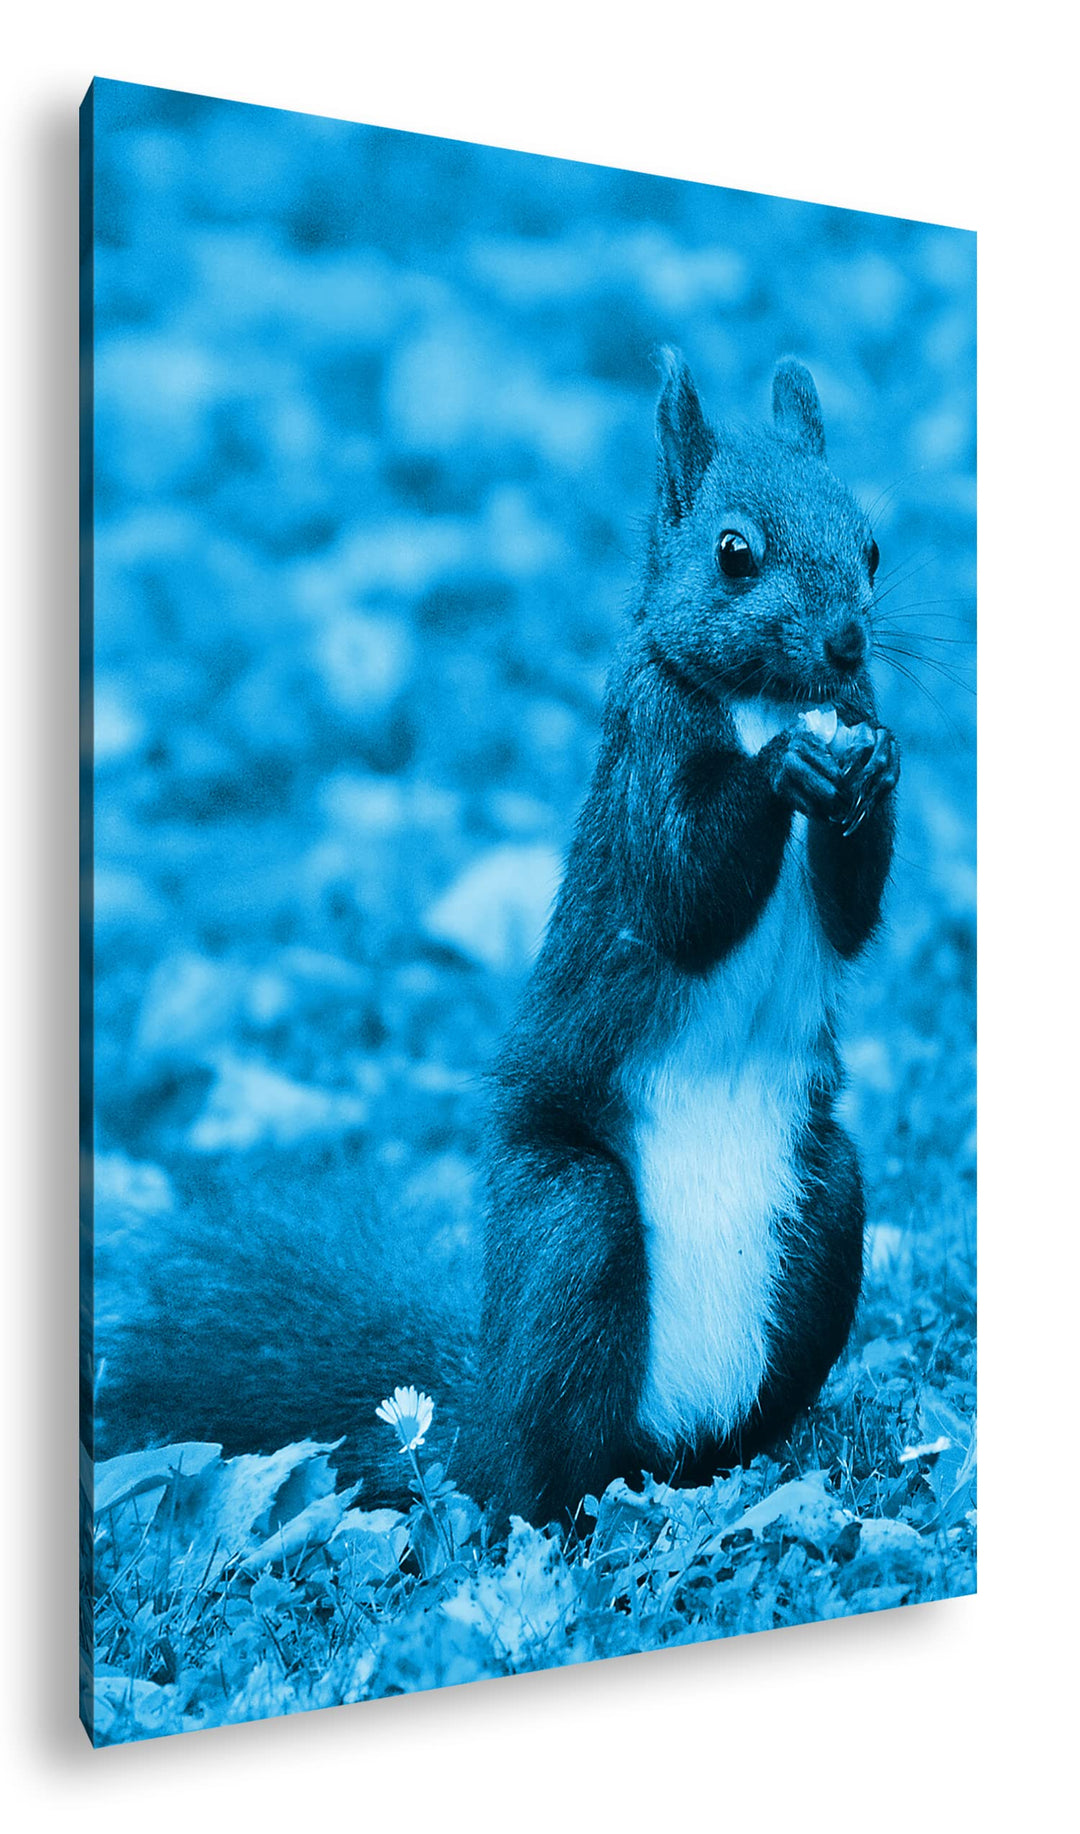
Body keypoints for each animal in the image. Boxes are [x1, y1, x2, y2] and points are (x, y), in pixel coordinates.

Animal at [93, 354, 898, 1529]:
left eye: (873, 546)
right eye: (734, 552)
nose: (847, 643)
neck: (763, 699)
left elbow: (852, 910)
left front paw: (877, 764)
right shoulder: (646, 754)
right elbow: (683, 896)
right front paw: (785, 769)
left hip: (826, 1203)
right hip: (572, 1225)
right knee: (535, 1467)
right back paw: (569, 1501)